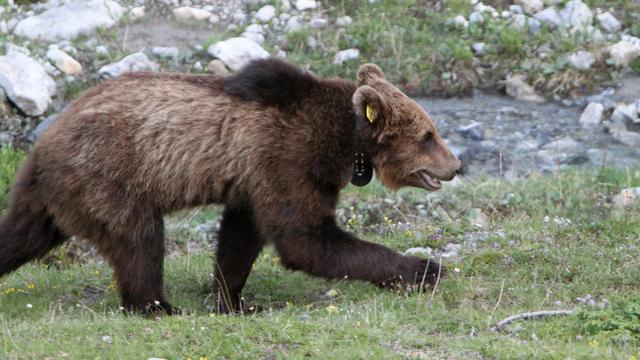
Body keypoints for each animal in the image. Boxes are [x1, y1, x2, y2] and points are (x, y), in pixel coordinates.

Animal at [0, 57, 460, 314]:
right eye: (428, 135)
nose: (455, 165)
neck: (343, 142)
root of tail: (45, 141)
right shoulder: (288, 156)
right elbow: (306, 239)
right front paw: (424, 269)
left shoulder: (252, 178)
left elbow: (242, 237)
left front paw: (235, 300)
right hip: (108, 176)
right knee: (139, 240)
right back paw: (157, 306)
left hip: (50, 195)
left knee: (21, 234)